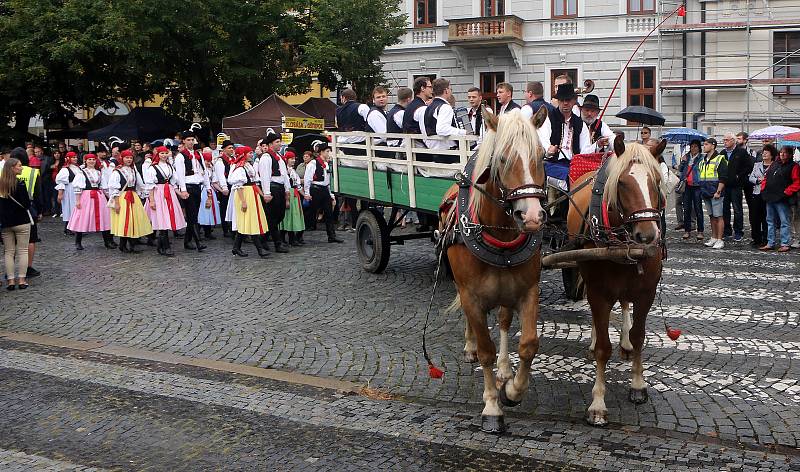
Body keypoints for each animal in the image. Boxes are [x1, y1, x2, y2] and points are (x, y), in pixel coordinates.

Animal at [438, 108, 552, 436]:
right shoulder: (472, 296)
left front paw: (512, 390)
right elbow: (485, 349)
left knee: (502, 321)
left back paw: (503, 370)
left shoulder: (528, 291)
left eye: (541, 155)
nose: (532, 217)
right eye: (502, 158)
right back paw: (470, 348)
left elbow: (528, 344)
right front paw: (491, 406)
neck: (499, 235)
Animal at [564, 135, 664, 426]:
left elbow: (640, 336)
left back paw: (626, 343)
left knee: (625, 304)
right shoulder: (599, 293)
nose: (647, 236)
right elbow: (603, 349)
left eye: (656, 180)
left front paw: (638, 385)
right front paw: (597, 403)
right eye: (621, 183)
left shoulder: (646, 293)